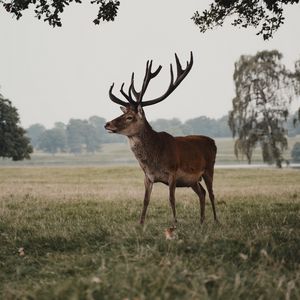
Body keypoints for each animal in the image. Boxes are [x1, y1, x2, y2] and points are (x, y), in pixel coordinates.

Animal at [103, 52, 218, 225]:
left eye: (129, 117)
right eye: (123, 113)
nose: (107, 124)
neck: (154, 159)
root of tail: (213, 142)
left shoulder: (173, 172)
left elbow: (171, 199)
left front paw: (175, 223)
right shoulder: (147, 177)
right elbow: (145, 200)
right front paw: (140, 224)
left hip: (209, 168)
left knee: (211, 193)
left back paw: (216, 221)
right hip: (192, 180)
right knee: (202, 193)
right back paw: (201, 221)